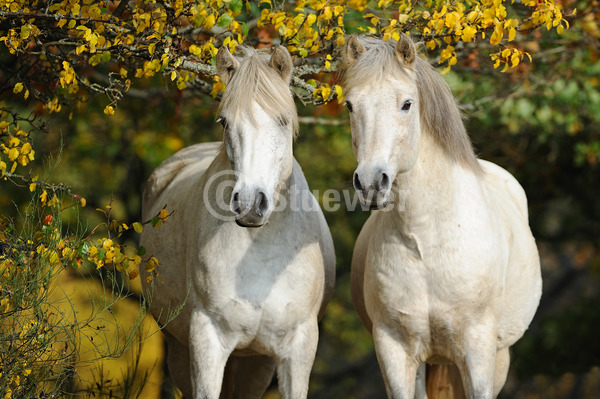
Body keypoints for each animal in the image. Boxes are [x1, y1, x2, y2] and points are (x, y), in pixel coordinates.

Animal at [141, 45, 338, 398]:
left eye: (283, 120)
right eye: (224, 121)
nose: (249, 204)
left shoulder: (296, 349)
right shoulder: (207, 339)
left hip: (254, 362)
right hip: (180, 347)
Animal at [342, 35, 544, 399]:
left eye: (407, 104)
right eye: (350, 105)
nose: (370, 182)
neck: (427, 240)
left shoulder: (477, 351)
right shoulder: (395, 351)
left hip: (498, 356)